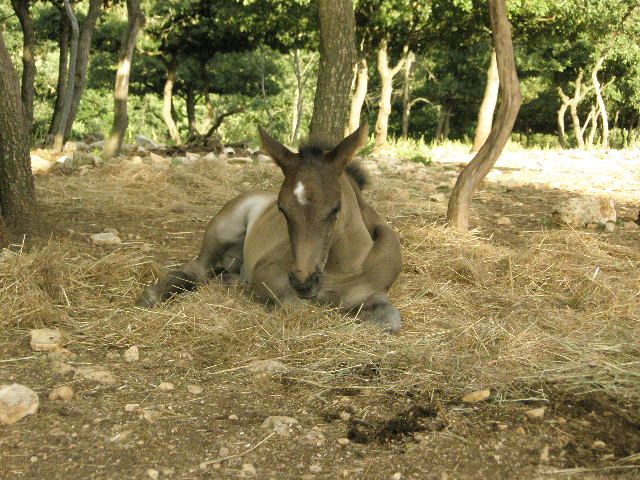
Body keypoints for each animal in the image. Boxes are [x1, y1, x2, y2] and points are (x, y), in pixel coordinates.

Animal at [137, 124, 403, 332]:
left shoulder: (374, 294)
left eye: (335, 209)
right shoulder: (268, 273)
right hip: (222, 232)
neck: (343, 267)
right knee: (197, 270)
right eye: (282, 209)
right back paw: (153, 295)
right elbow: (295, 307)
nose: (304, 283)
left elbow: (390, 322)